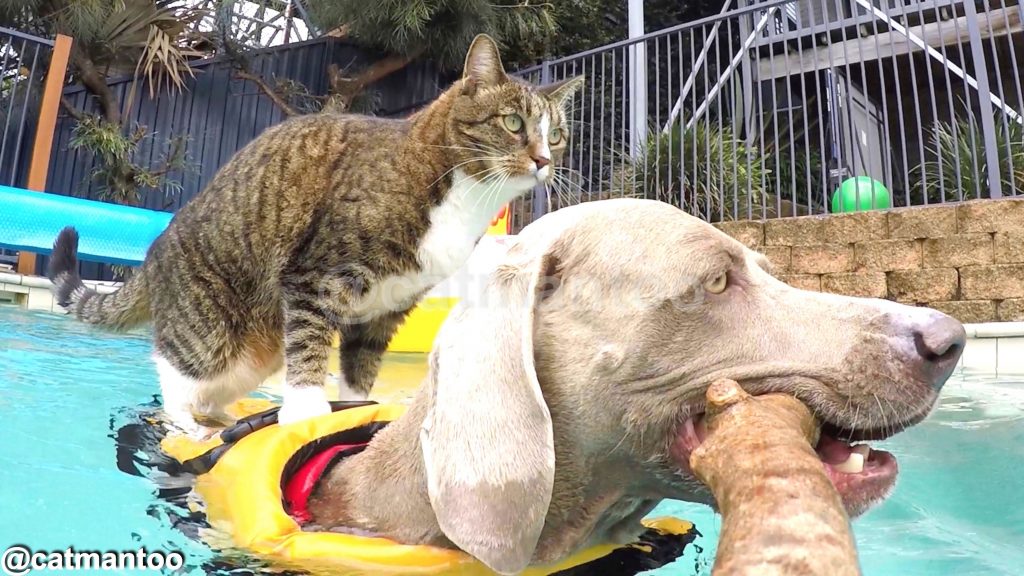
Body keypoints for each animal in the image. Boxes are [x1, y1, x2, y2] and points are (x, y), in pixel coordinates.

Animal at [47, 34, 584, 436]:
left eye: (557, 134)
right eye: (512, 123)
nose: (544, 160)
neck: (462, 197)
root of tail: (155, 249)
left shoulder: (390, 305)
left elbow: (361, 367)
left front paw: (357, 408)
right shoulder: (315, 275)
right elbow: (308, 343)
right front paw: (307, 409)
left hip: (254, 354)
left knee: (216, 388)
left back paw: (226, 416)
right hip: (207, 328)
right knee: (177, 374)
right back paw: (190, 425)